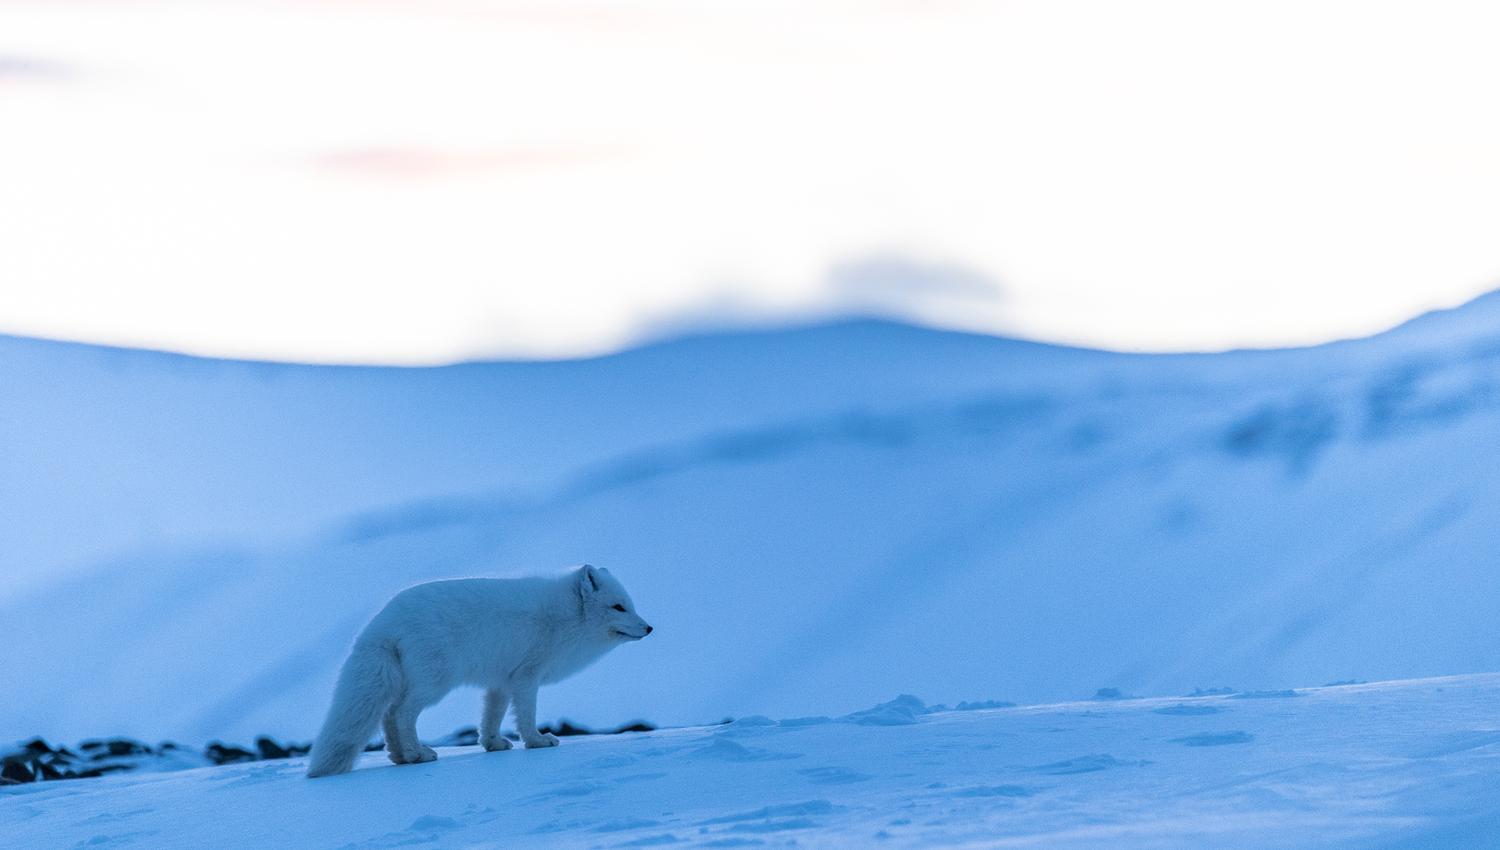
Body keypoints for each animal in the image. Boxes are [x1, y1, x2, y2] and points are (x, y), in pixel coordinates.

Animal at [305, 564, 652, 778]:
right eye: (618, 607)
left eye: (631, 605)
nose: (649, 628)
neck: (567, 617)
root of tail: (381, 622)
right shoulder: (527, 676)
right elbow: (526, 716)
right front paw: (537, 742)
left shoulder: (501, 681)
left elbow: (491, 717)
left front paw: (493, 745)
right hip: (434, 683)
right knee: (401, 713)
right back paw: (417, 754)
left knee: (389, 715)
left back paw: (402, 757)